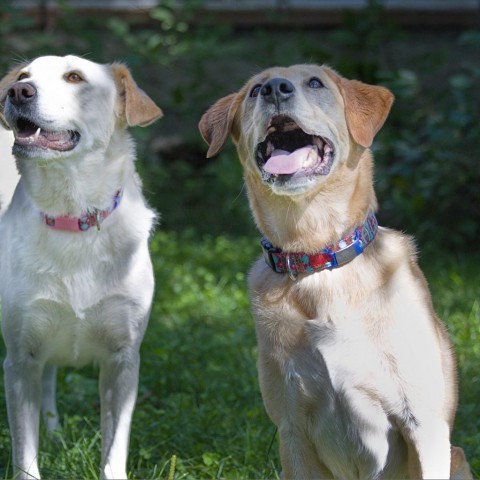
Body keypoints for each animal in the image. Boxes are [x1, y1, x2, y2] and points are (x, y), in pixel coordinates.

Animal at [0, 55, 161, 480]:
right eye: (24, 76)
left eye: (74, 77)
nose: (17, 92)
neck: (72, 215)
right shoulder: (20, 357)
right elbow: (25, 452)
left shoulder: (123, 360)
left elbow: (114, 447)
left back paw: (55, 431)